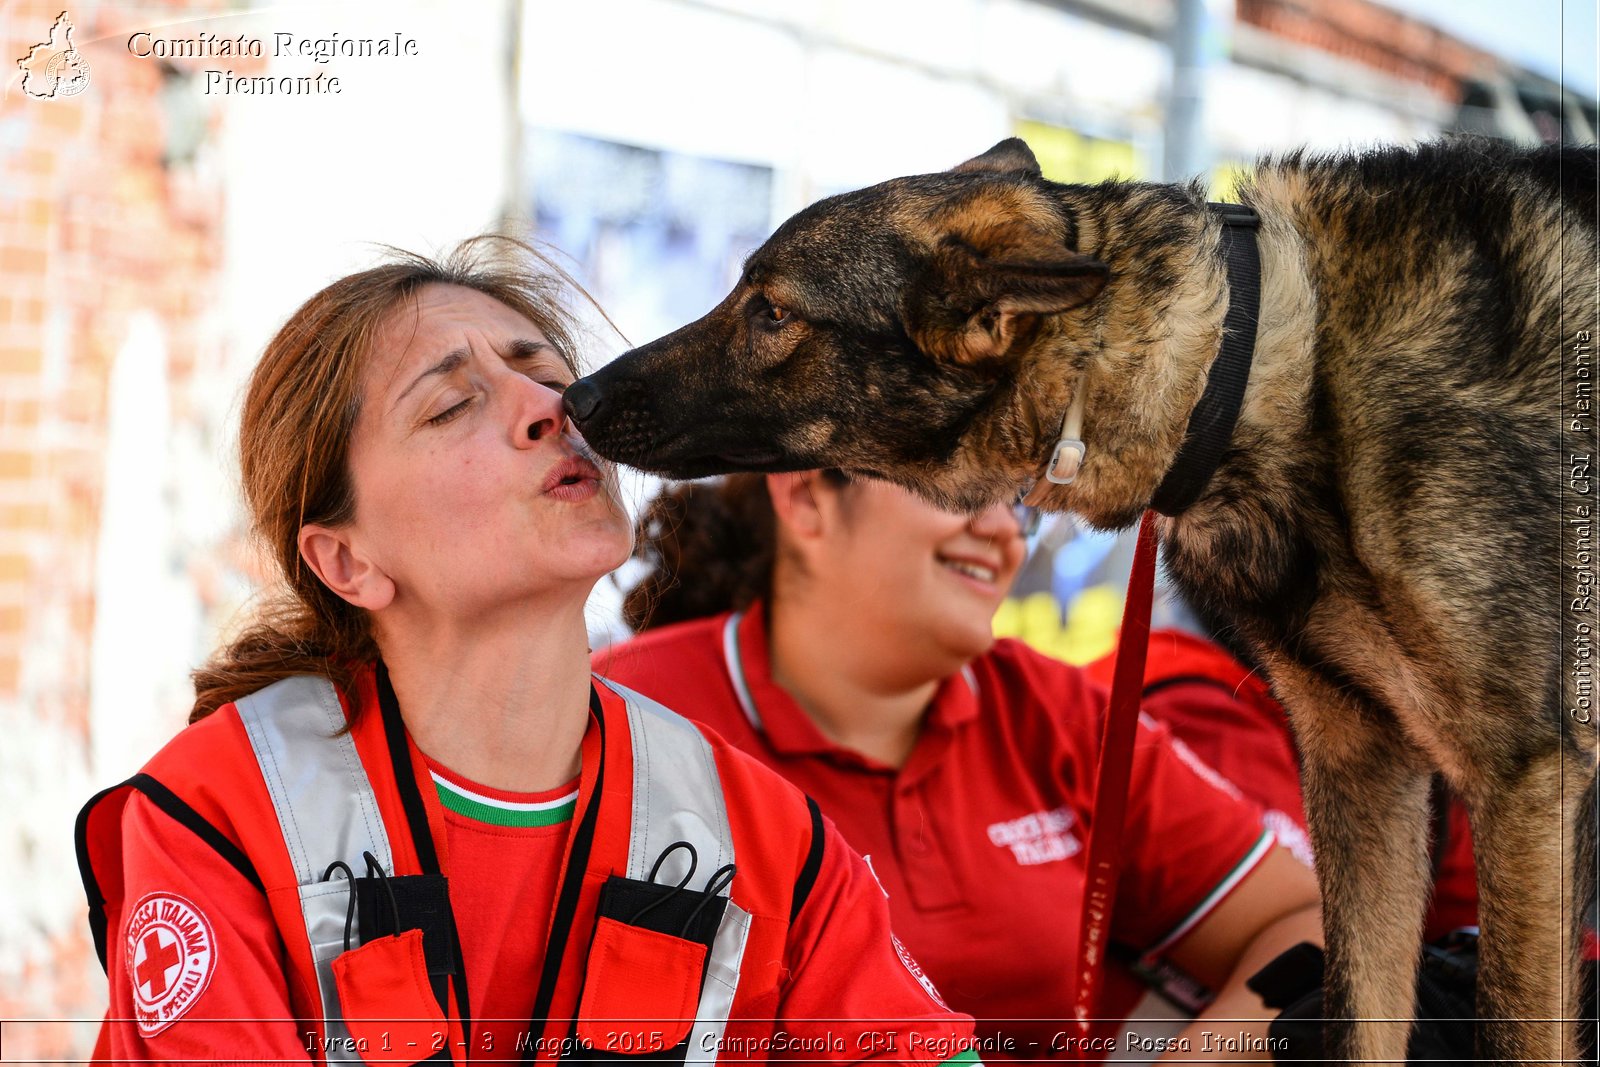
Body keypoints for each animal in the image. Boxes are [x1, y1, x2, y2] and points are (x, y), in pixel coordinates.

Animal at [569, 137, 1593, 1062]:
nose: (577, 397)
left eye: (774, 310)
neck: (1249, 367)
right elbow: (1358, 1020)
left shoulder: (1521, 784)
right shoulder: (1364, 768)